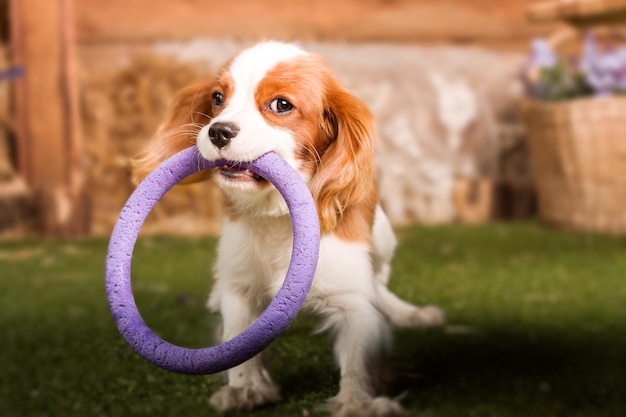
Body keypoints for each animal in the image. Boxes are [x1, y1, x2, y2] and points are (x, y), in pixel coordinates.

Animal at [132, 39, 444, 416]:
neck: (278, 215)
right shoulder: (241, 285)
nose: (218, 131)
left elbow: (358, 355)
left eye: (281, 105)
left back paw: (410, 314)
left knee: (379, 285)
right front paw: (246, 388)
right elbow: (239, 339)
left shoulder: (351, 297)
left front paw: (358, 402)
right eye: (218, 98)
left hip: (384, 239)